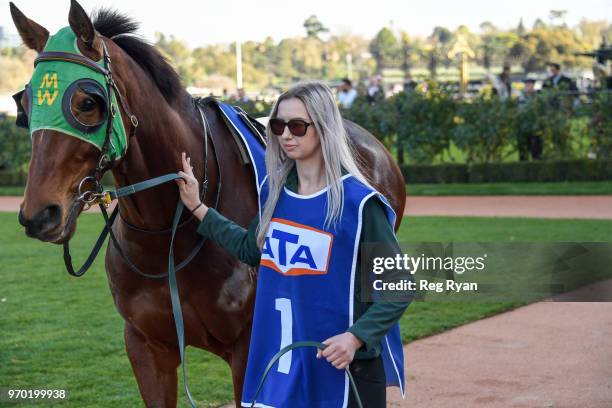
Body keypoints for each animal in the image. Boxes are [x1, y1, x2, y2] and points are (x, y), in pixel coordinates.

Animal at [9, 1, 406, 406]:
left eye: (88, 103)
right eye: (24, 103)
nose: (40, 214)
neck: (167, 236)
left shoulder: (249, 349)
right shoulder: (145, 345)